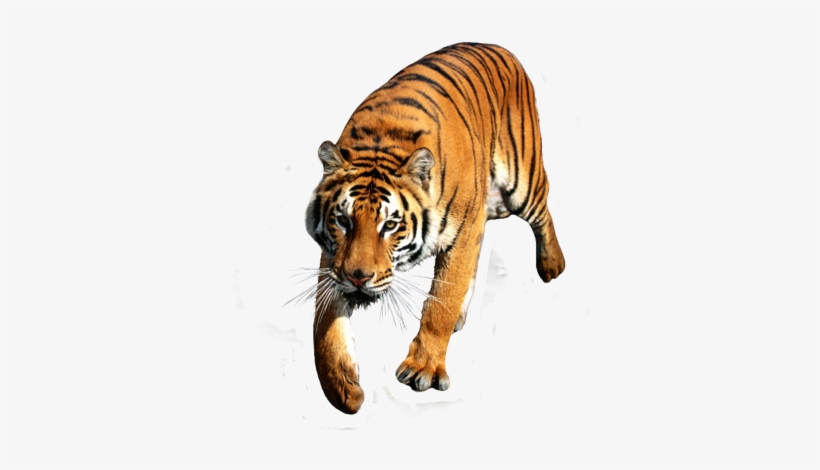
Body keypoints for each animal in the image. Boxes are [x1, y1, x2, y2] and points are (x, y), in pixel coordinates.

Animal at [304, 42, 565, 414]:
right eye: (342, 220)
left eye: (390, 225)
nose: (358, 277)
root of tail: (499, 47)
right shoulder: (333, 258)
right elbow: (322, 324)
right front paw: (342, 389)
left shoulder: (462, 232)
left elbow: (441, 300)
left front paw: (422, 369)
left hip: (521, 181)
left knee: (543, 212)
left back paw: (553, 265)